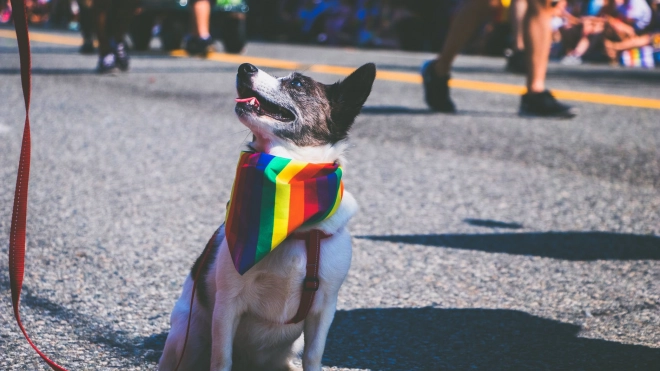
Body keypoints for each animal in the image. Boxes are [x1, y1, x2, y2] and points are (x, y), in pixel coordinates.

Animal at [159, 61, 376, 371]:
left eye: (297, 84)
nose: (244, 67)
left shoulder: (323, 310)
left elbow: (314, 356)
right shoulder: (227, 307)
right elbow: (221, 358)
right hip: (187, 337)